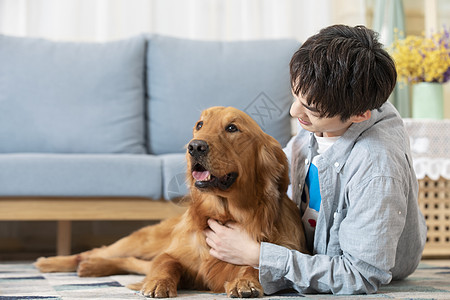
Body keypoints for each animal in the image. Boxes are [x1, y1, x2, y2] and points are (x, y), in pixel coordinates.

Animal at [34, 106, 306, 298]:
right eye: (199, 125)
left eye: (232, 128)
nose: (195, 146)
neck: (225, 213)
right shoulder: (174, 253)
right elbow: (166, 263)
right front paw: (157, 283)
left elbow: (255, 263)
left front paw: (245, 281)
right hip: (144, 241)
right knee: (101, 251)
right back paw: (55, 262)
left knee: (130, 262)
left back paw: (91, 267)